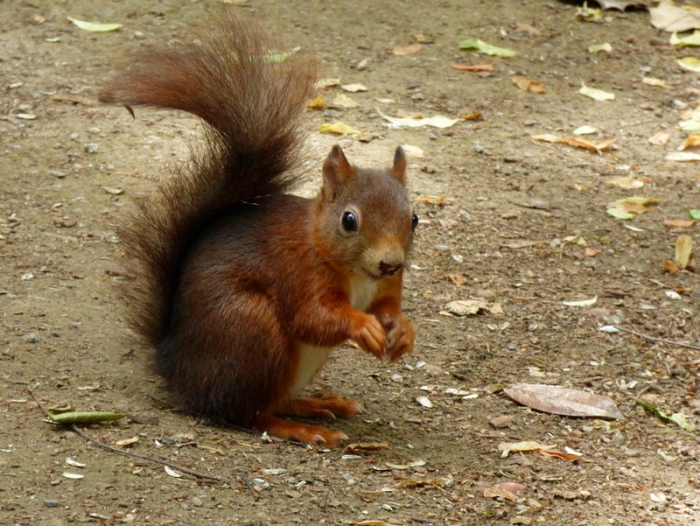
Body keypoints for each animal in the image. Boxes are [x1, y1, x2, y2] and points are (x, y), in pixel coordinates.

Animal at [100, 11, 417, 447]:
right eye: (349, 220)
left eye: (414, 219)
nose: (390, 263)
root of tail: (177, 367)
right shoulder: (298, 271)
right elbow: (311, 316)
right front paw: (363, 326)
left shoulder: (386, 285)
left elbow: (388, 308)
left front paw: (402, 331)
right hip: (251, 329)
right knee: (248, 413)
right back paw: (302, 428)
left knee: (272, 401)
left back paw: (317, 403)